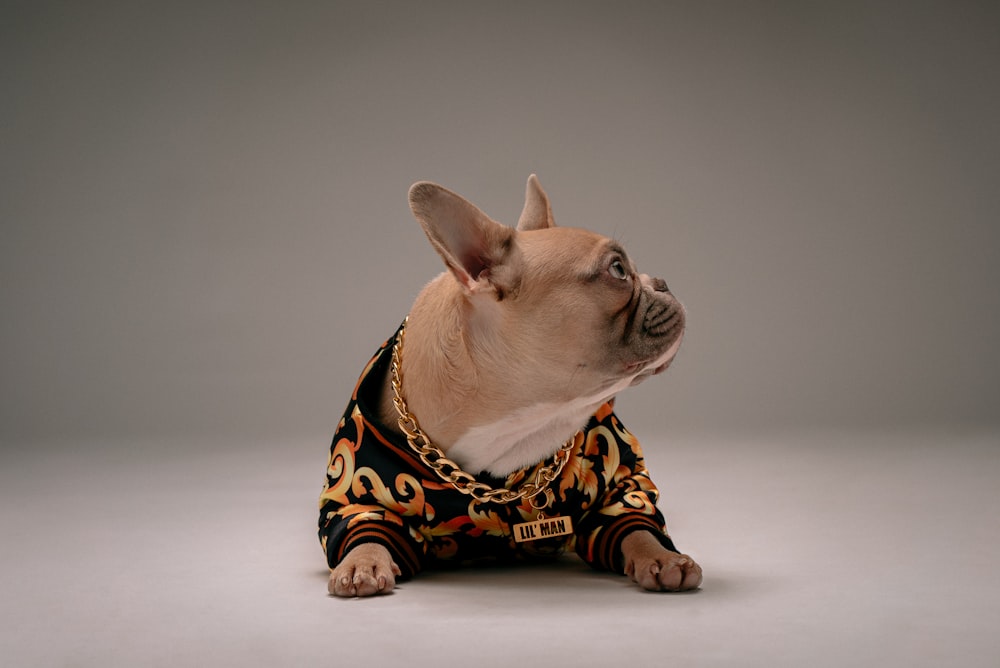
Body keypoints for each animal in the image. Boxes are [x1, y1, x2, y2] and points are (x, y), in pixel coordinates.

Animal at [316, 176, 700, 596]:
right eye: (617, 269)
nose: (661, 282)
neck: (515, 423)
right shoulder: (357, 494)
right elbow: (365, 525)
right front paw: (361, 562)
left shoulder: (617, 481)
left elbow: (635, 523)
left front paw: (663, 557)